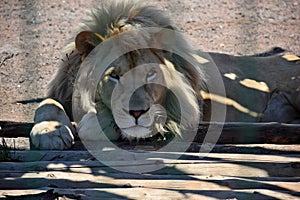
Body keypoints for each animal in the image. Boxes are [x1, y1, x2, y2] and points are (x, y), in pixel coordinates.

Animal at [29, 0, 298, 149]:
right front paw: (49, 132)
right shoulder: (61, 92)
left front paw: (92, 124)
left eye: (150, 74)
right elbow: (46, 104)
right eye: (114, 76)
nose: (137, 112)